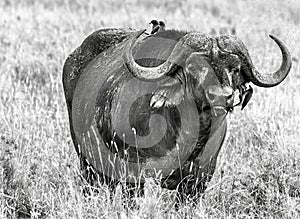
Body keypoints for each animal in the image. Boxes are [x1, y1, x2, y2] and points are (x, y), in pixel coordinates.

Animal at [62, 26, 290, 200]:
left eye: (234, 69)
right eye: (194, 68)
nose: (221, 96)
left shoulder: (199, 179)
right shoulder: (134, 174)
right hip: (87, 160)